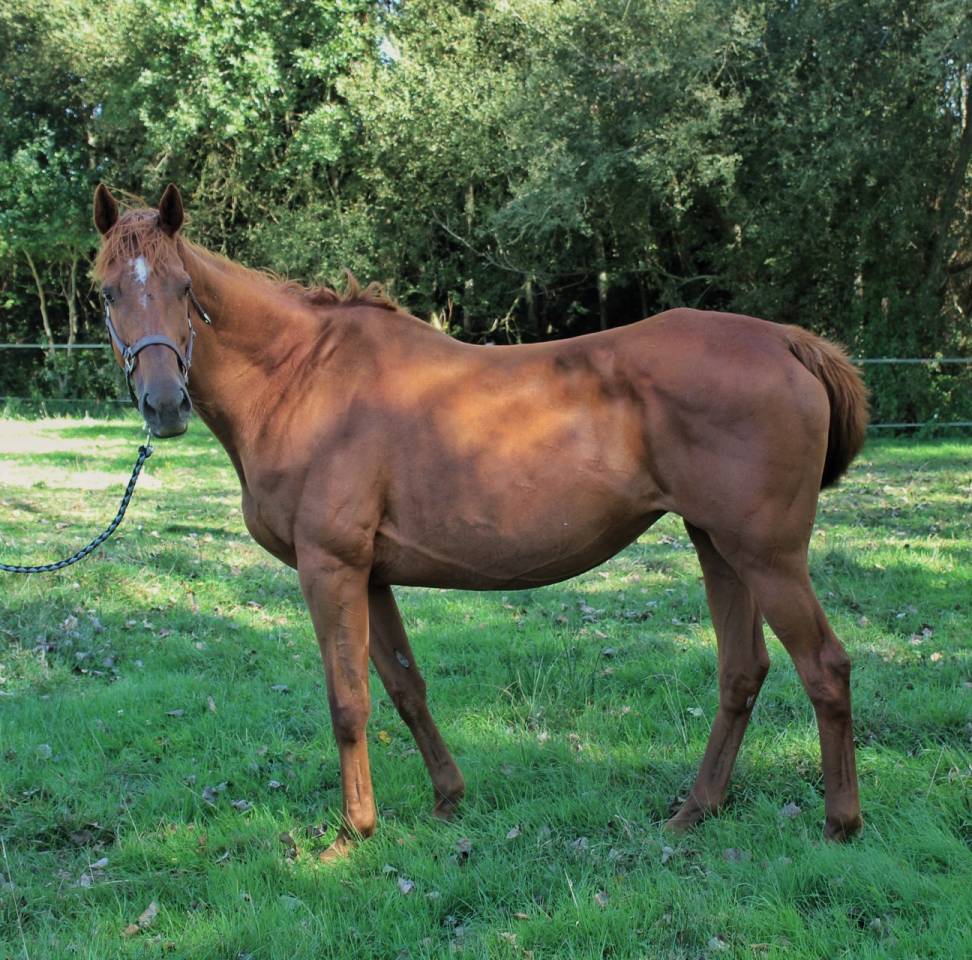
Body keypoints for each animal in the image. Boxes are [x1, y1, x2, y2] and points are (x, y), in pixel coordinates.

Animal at [92, 183, 868, 858]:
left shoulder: (329, 568)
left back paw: (841, 824)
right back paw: (694, 812)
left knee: (824, 667)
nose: (164, 404)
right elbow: (405, 687)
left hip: (766, 555)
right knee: (743, 671)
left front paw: (352, 833)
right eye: (106, 291)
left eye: (184, 289)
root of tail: (787, 341)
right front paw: (447, 800)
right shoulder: (370, 577)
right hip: (718, 546)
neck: (301, 377)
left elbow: (348, 702)